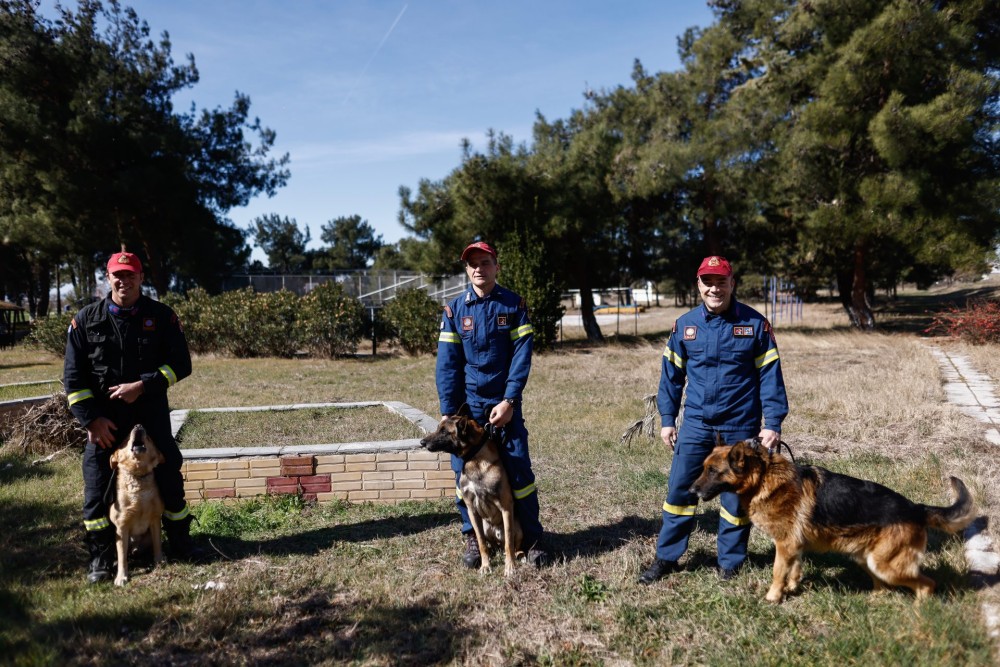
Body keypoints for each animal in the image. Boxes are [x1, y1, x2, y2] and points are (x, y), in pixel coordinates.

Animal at [109, 426, 165, 588]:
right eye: (126, 438)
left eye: (149, 438)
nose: (139, 426)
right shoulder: (121, 527)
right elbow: (122, 558)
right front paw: (121, 577)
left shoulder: (155, 519)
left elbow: (158, 544)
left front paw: (159, 561)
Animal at [418, 404, 524, 576]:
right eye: (438, 428)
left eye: (444, 431)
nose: (422, 442)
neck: (475, 458)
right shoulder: (472, 510)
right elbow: (481, 543)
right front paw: (485, 566)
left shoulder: (506, 507)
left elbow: (509, 543)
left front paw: (510, 567)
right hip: (485, 527)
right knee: (492, 544)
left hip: (517, 526)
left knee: (513, 545)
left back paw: (520, 555)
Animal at [692, 438, 972, 604]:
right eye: (703, 467)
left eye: (712, 471)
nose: (691, 490)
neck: (763, 479)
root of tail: (916, 508)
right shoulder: (794, 546)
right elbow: (794, 569)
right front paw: (792, 587)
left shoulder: (784, 545)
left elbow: (778, 572)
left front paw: (773, 597)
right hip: (867, 559)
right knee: (885, 588)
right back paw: (874, 601)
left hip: (885, 565)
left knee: (927, 584)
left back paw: (918, 609)